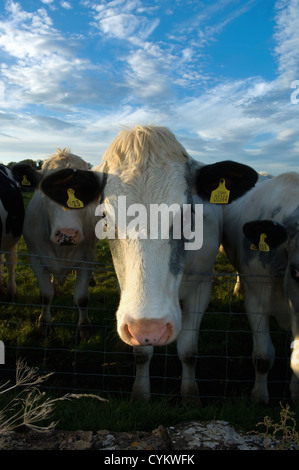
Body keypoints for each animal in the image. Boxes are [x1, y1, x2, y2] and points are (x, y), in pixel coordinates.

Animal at [11, 149, 99, 336]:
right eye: (46, 189)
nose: (67, 234)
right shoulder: (35, 258)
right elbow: (45, 295)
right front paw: (43, 323)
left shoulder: (86, 258)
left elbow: (82, 297)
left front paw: (84, 326)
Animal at [37, 126, 258, 402]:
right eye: (104, 217)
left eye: (189, 214)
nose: (149, 329)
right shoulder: (124, 290)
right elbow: (142, 354)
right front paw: (141, 393)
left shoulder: (201, 288)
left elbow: (188, 350)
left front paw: (190, 396)